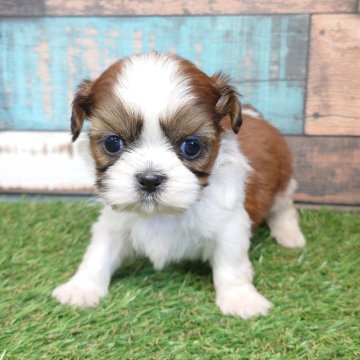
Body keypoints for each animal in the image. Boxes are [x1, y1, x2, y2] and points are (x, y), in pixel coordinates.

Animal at [52, 51, 306, 318]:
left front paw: (240, 298)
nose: (150, 179)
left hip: (283, 180)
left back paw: (290, 235)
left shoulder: (230, 225)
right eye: (112, 143)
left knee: (284, 208)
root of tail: (256, 116)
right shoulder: (114, 223)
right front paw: (81, 288)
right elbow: (98, 254)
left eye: (191, 146)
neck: (162, 213)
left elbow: (231, 265)